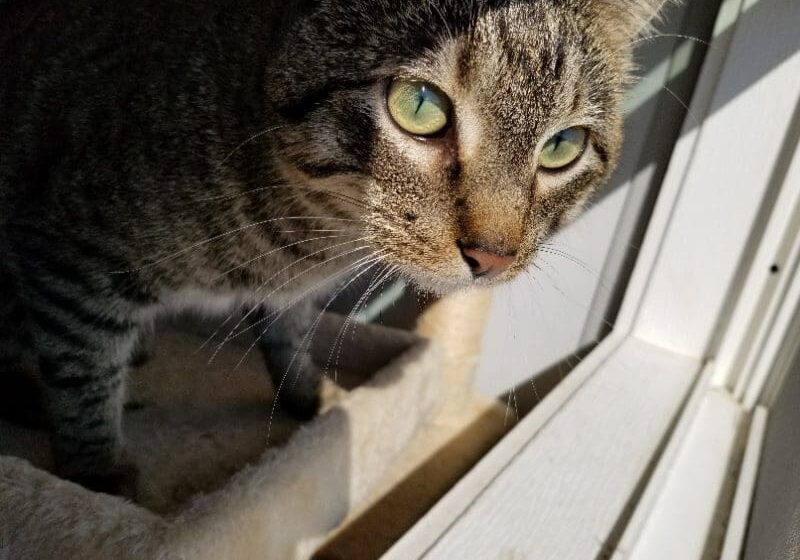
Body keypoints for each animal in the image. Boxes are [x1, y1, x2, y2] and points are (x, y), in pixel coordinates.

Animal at [0, 0, 664, 490]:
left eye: (563, 146)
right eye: (420, 105)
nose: (493, 256)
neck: (309, 236)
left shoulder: (291, 291)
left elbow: (290, 337)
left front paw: (314, 400)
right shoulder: (68, 251)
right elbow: (83, 369)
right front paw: (95, 471)